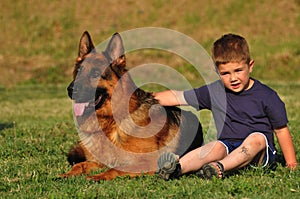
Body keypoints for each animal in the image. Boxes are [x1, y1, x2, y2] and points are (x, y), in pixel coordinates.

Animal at [61, 30, 203, 180]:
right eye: (78, 72)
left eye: (95, 73)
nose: (70, 89)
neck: (113, 122)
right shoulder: (99, 162)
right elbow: (79, 165)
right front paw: (66, 174)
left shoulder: (146, 162)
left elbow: (114, 169)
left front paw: (97, 177)